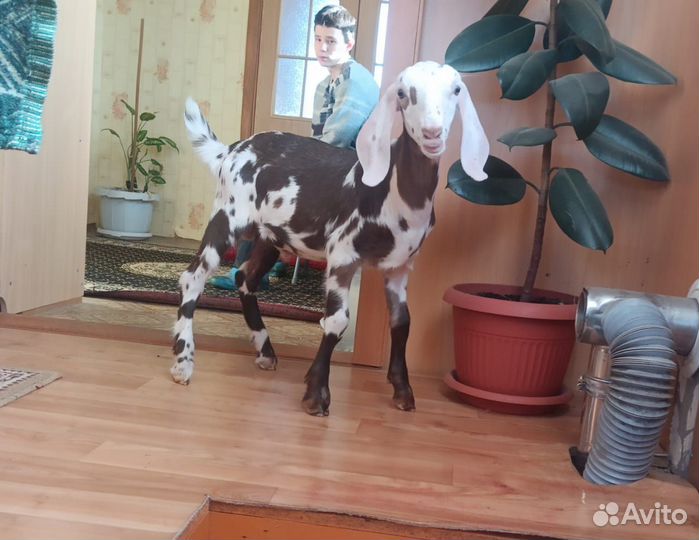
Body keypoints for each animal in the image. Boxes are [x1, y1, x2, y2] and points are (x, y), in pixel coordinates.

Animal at [172, 61, 489, 416]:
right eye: (403, 93)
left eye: (456, 90)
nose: (433, 133)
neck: (396, 192)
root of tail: (230, 151)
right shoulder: (343, 254)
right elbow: (336, 321)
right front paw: (317, 393)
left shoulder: (400, 267)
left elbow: (402, 322)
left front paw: (403, 390)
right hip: (228, 216)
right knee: (193, 277)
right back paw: (184, 362)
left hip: (271, 236)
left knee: (245, 278)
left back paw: (265, 350)